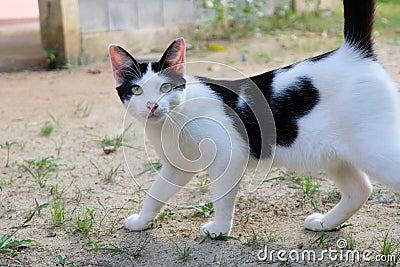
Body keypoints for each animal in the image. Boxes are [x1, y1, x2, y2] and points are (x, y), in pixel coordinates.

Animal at [108, 0, 400, 239]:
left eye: (166, 87)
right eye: (137, 90)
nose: (152, 105)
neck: (172, 120)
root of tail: (351, 53)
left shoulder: (229, 155)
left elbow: (222, 198)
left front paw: (219, 230)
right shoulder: (177, 167)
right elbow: (155, 193)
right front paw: (142, 221)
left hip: (372, 149)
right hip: (335, 154)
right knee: (360, 189)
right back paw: (325, 223)